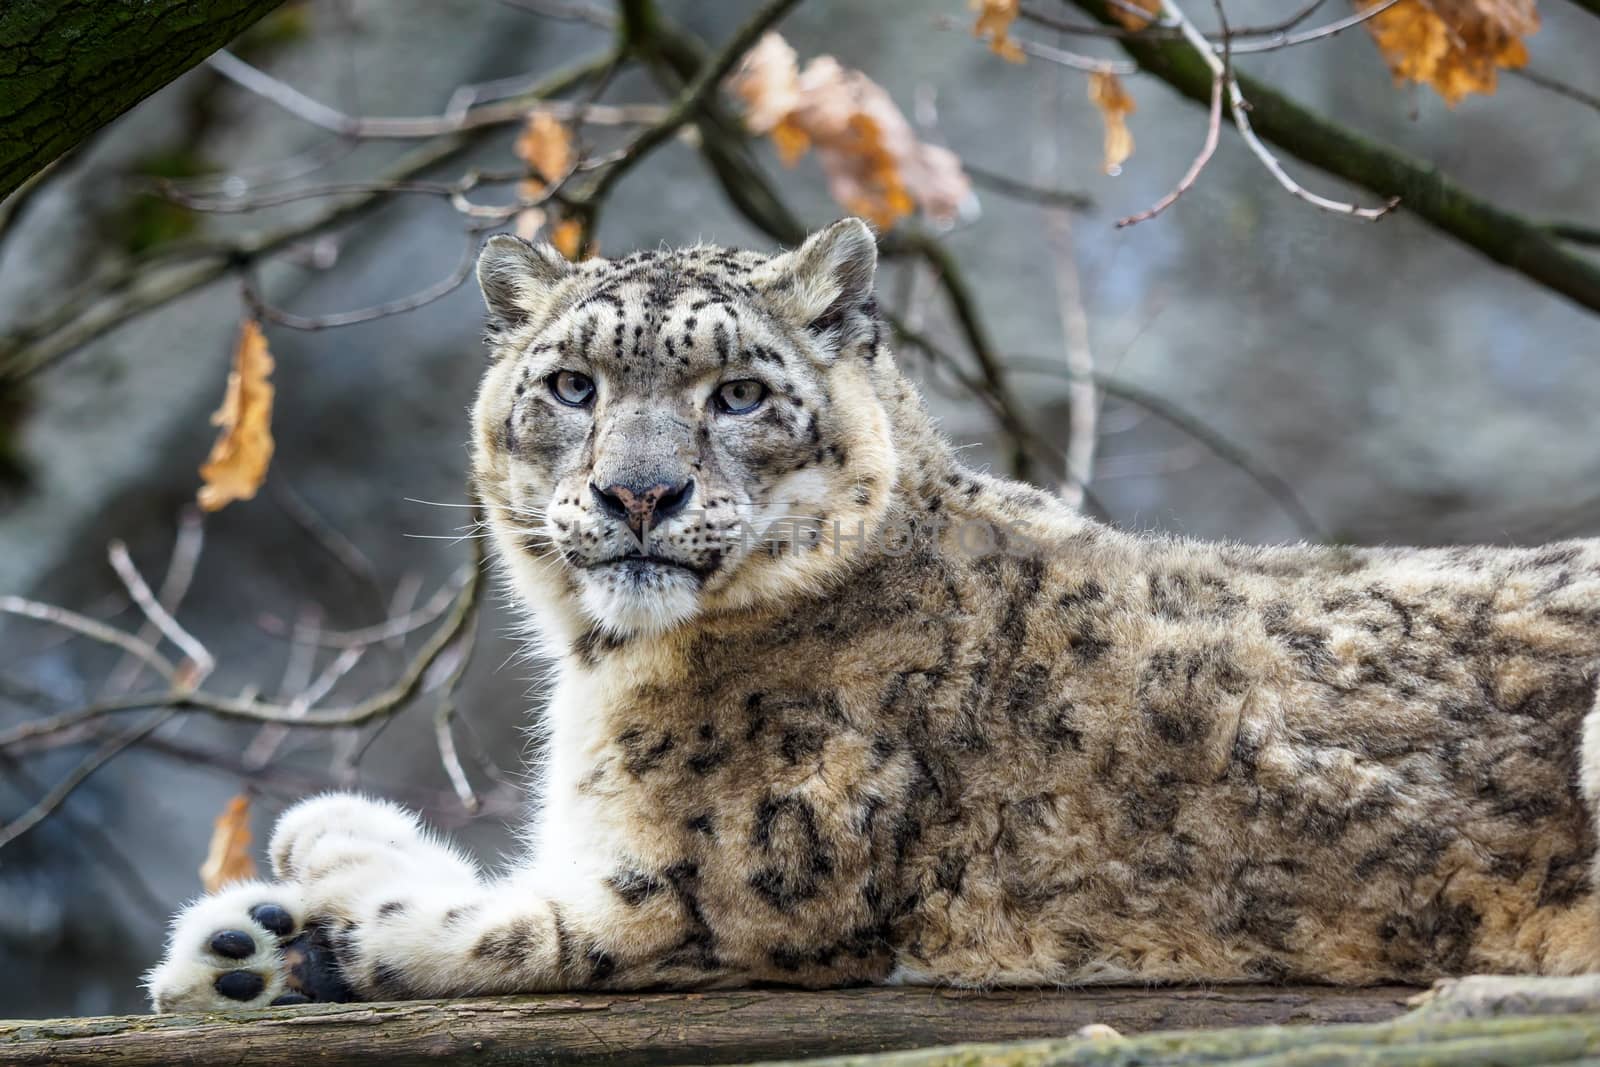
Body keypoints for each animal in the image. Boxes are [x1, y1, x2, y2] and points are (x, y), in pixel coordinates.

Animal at [147, 217, 1600, 1011]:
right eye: (568, 383)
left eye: (739, 392)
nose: (637, 491)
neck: (606, 672)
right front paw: (253, 922)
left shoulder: (703, 892)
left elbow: (498, 928)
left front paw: (310, 899)